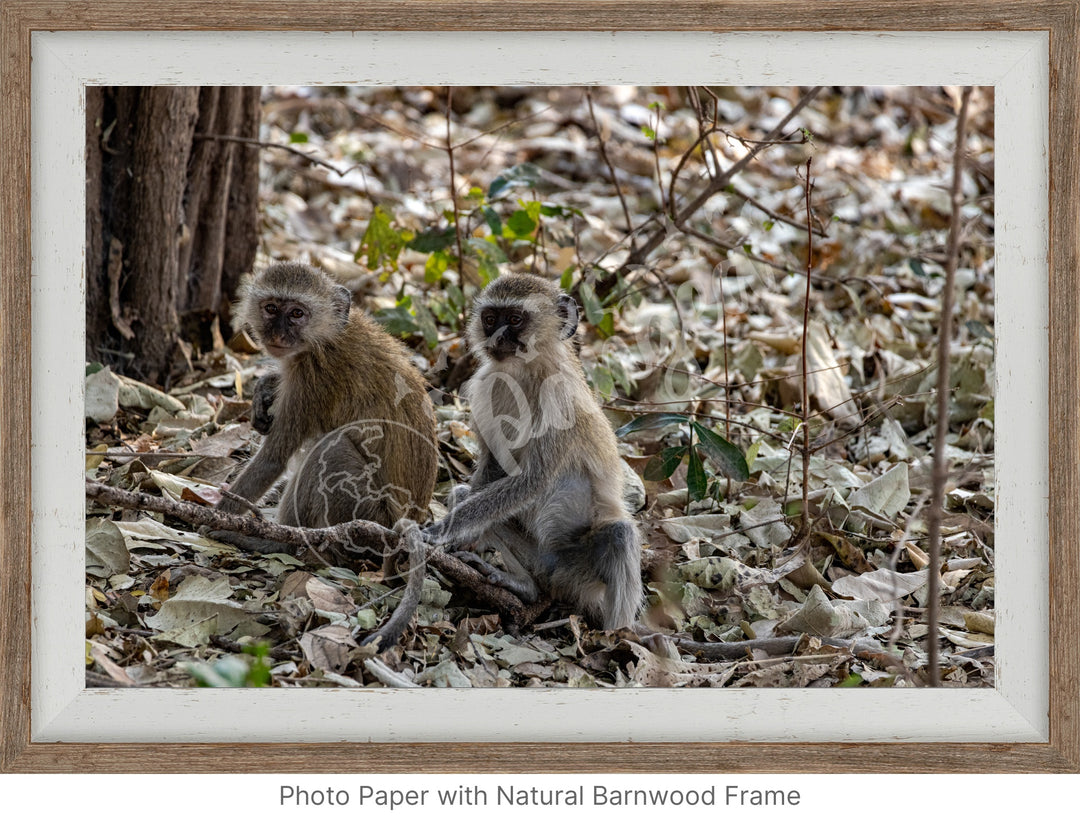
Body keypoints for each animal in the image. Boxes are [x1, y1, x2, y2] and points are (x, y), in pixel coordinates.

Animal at [421, 272, 639, 630]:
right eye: (490, 319)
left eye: (514, 320)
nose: (496, 337)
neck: (525, 373)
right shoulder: (486, 385)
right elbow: (494, 469)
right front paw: (456, 537)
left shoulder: (559, 400)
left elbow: (533, 480)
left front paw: (440, 530)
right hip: (539, 559)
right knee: (468, 496)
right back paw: (522, 585)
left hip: (582, 572)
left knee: (620, 535)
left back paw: (619, 634)